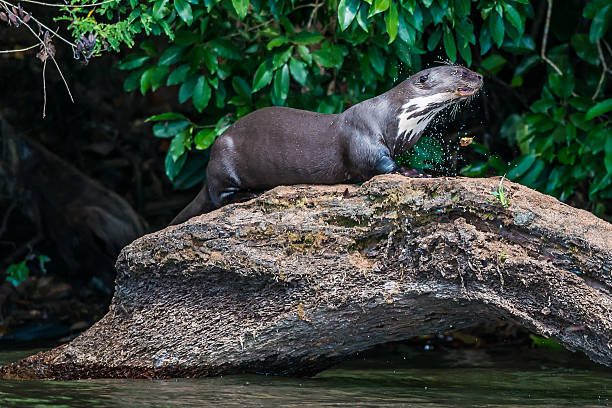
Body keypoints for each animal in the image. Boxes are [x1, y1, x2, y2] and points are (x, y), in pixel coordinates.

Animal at [172, 65, 482, 225]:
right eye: (459, 72)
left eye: (466, 68)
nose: (479, 76)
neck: (396, 116)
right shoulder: (363, 136)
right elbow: (380, 164)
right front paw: (417, 173)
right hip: (224, 159)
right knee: (218, 197)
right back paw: (249, 195)